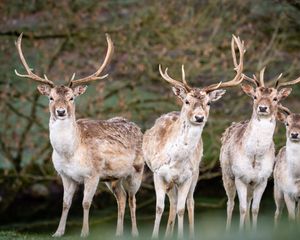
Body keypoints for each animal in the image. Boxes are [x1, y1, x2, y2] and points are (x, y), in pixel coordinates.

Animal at [14, 32, 144, 237]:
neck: (70, 153)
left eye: (71, 98)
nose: (60, 111)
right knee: (122, 198)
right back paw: (118, 233)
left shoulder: (93, 174)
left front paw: (84, 232)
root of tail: (138, 127)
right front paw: (58, 232)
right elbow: (65, 204)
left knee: (132, 199)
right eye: (50, 97)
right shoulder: (65, 176)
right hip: (113, 178)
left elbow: (85, 203)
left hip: (137, 170)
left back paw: (135, 233)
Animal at [144, 35, 246, 238]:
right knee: (172, 203)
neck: (175, 160)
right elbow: (159, 208)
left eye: (209, 103)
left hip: (196, 172)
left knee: (188, 203)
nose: (199, 117)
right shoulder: (158, 173)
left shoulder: (187, 176)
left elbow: (182, 209)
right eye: (186, 101)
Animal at [219, 64, 298, 230]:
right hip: (226, 174)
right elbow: (242, 209)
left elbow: (255, 209)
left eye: (275, 98)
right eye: (255, 96)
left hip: (251, 183)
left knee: (249, 202)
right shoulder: (240, 177)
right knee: (230, 203)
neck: (254, 156)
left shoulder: (262, 180)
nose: (262, 108)